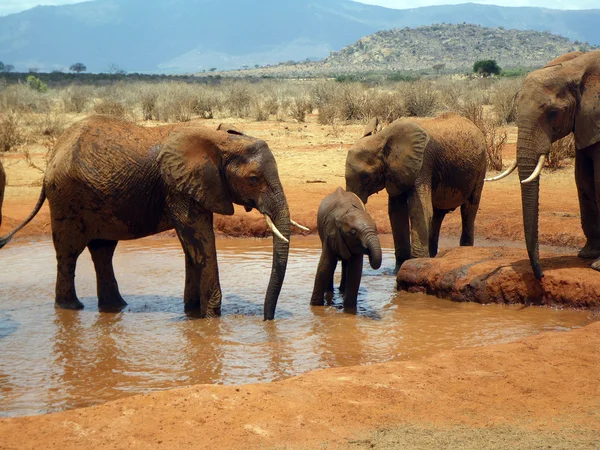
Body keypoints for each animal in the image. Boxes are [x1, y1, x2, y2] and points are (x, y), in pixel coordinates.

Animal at [0, 116, 304, 320]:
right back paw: (71, 308)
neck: (219, 140)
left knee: (102, 251)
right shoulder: (177, 187)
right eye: (253, 179)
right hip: (67, 198)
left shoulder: (197, 187)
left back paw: (115, 307)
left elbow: (192, 246)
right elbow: (200, 241)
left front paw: (193, 312)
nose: (267, 320)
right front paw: (210, 318)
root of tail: (53, 156)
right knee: (69, 253)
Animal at [346, 114, 488, 272]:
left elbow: (419, 209)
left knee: (469, 210)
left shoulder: (423, 163)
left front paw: (414, 264)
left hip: (480, 168)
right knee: (437, 214)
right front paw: (399, 269)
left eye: (365, 176)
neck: (383, 137)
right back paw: (432, 257)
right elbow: (397, 212)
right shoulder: (396, 171)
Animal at [488, 51, 600, 280]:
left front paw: (597, 266)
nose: (540, 275)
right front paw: (586, 255)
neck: (574, 68)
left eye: (553, 113)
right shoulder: (585, 121)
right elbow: (583, 179)